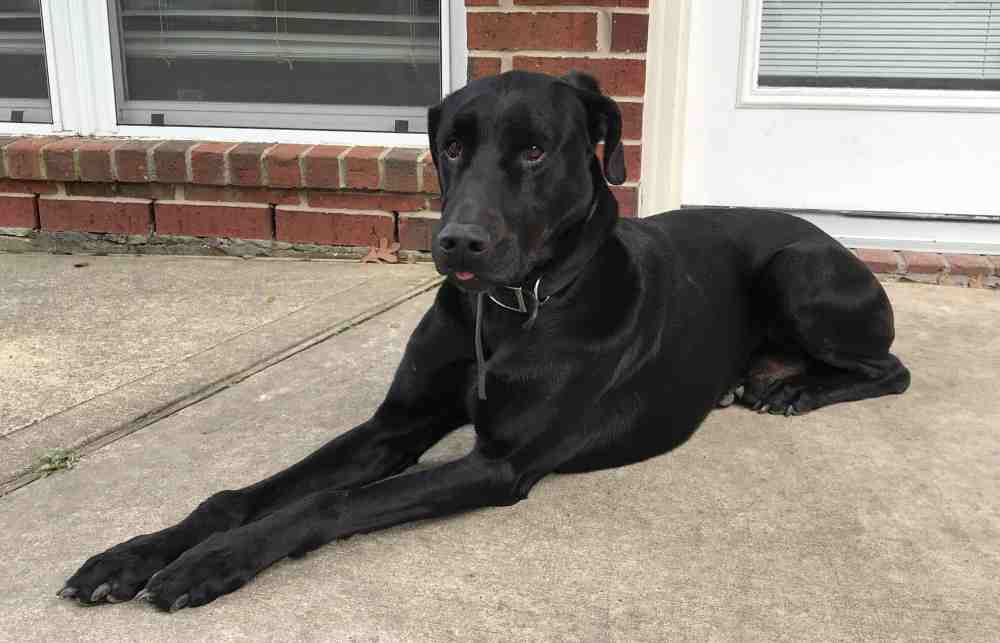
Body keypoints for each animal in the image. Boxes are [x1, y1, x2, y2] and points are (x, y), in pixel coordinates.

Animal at [58, 73, 912, 612]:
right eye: (453, 147)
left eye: (536, 149)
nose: (458, 243)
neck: (506, 310)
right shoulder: (395, 425)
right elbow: (242, 493)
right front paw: (135, 553)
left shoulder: (500, 462)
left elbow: (329, 498)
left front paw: (211, 561)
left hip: (801, 270)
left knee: (893, 369)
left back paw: (793, 386)